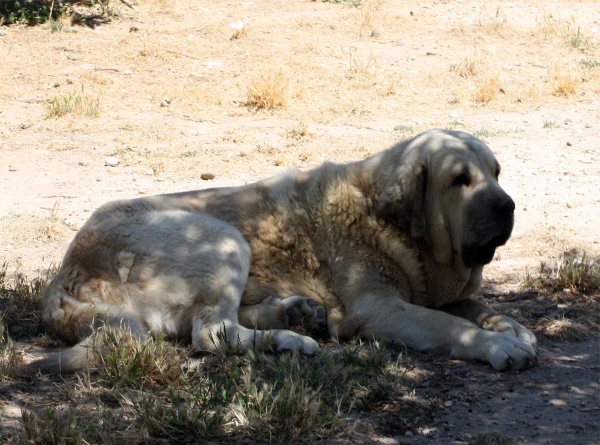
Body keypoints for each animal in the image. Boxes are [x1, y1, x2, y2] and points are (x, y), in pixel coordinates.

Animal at [29, 128, 536, 372]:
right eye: (460, 180)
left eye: (496, 173)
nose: (508, 206)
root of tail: (63, 278)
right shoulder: (378, 308)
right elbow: (448, 324)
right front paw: (496, 344)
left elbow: (472, 305)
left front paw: (508, 325)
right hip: (219, 236)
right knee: (210, 333)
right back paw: (292, 338)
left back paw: (294, 314)